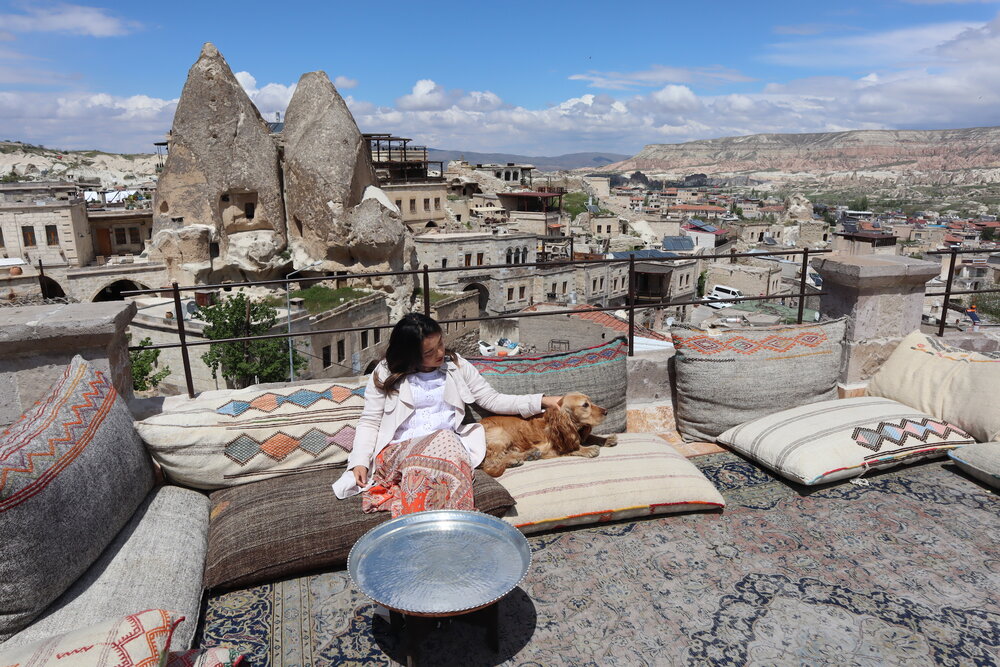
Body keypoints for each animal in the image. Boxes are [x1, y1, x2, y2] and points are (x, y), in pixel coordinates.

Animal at [478, 392, 616, 480]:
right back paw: (514, 460)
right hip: (501, 434)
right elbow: (570, 448)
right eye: (585, 405)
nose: (606, 411)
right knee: (490, 460)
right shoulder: (547, 447)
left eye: (591, 401)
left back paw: (528, 455)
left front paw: (607, 439)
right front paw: (587, 449)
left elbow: (589, 437)